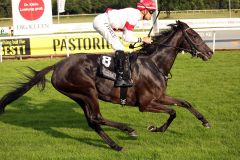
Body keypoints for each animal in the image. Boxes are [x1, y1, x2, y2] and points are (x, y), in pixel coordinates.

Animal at [0, 21, 214, 151]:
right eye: (195, 36)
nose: (210, 52)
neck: (154, 64)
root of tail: (57, 65)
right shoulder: (145, 104)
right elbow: (173, 111)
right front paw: (154, 128)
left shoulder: (159, 96)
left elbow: (184, 103)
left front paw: (205, 121)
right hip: (87, 91)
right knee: (97, 117)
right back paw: (128, 129)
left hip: (79, 97)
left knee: (93, 121)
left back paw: (115, 145)